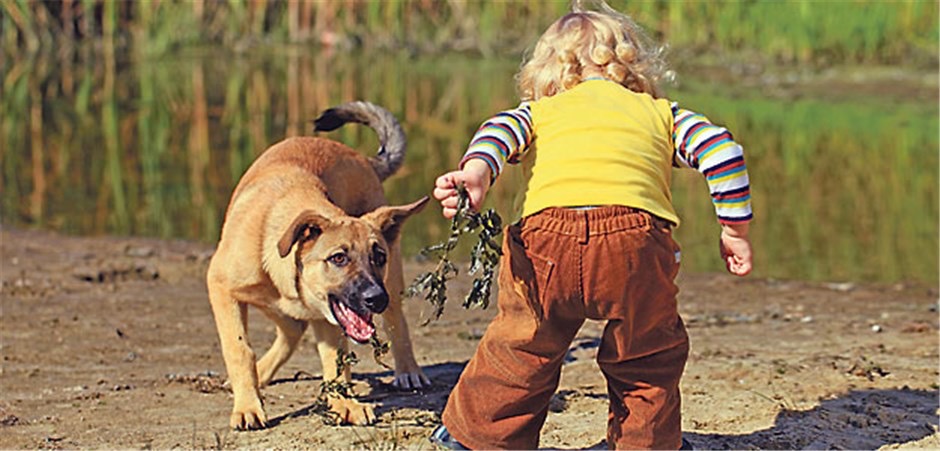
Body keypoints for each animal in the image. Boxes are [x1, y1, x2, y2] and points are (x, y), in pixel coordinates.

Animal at [208, 101, 430, 430]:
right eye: (338, 258)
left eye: (378, 257)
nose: (375, 299)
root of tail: (362, 158)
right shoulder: (221, 287)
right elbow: (239, 349)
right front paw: (248, 406)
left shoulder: (331, 318)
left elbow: (336, 360)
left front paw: (344, 403)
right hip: (267, 301)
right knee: (292, 329)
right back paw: (261, 374)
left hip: (389, 283)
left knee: (395, 321)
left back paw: (408, 370)